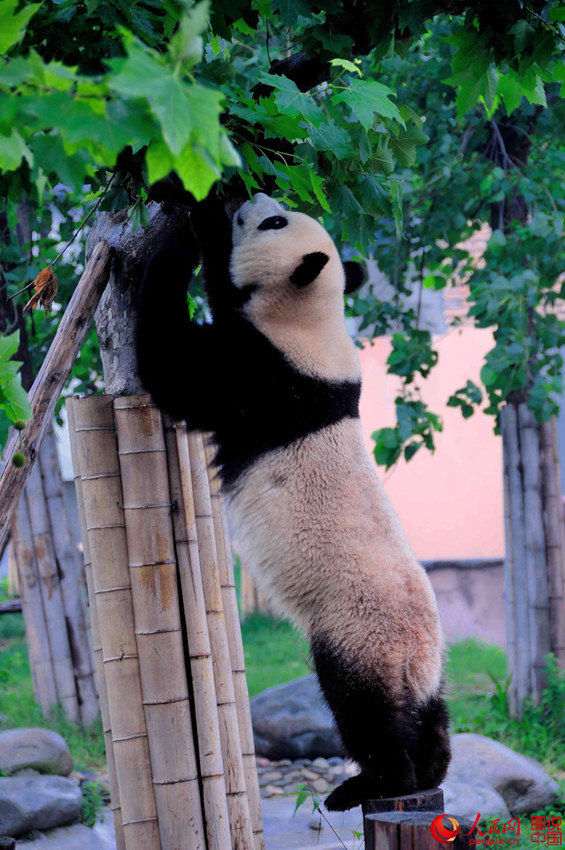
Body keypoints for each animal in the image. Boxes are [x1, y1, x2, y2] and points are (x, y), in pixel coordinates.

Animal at [135, 192, 450, 808]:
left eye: (273, 221)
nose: (250, 196)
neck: (312, 317)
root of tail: (415, 660)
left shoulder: (267, 376)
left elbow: (175, 363)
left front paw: (190, 225)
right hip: (423, 664)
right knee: (430, 718)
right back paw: (430, 771)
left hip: (357, 633)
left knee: (365, 715)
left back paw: (369, 784)